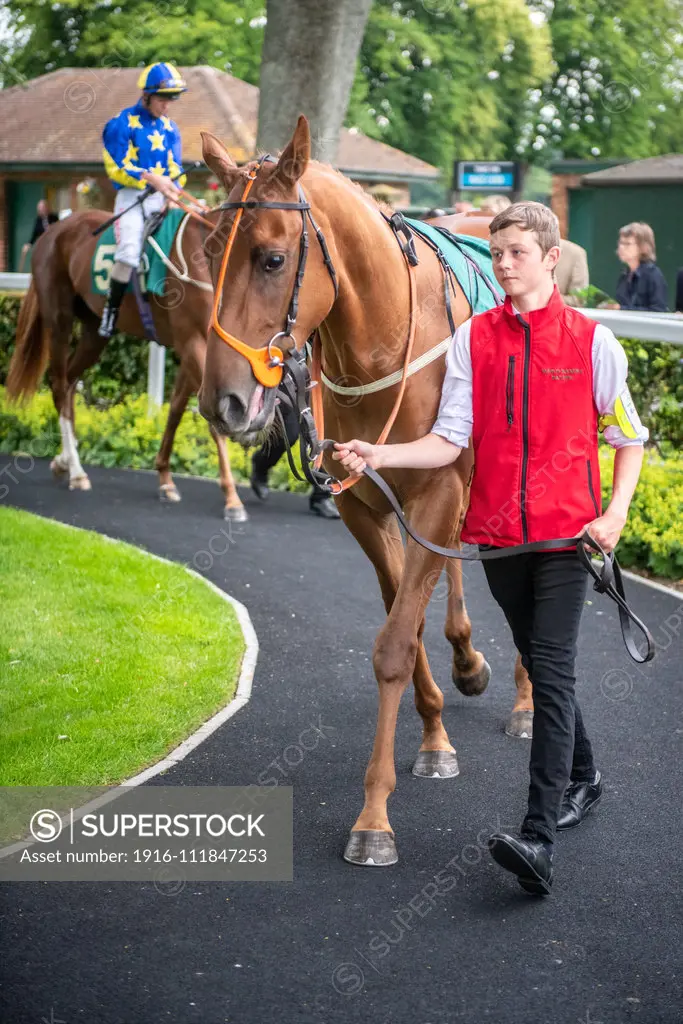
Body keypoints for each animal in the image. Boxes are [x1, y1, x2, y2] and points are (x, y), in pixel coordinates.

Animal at [6, 205, 246, 520]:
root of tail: (54, 230)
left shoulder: (197, 349)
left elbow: (177, 407)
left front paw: (165, 479)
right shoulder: (193, 342)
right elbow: (212, 418)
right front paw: (232, 498)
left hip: (95, 330)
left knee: (70, 382)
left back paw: (65, 461)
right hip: (59, 319)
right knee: (58, 383)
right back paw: (77, 471)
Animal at [196, 119, 532, 868]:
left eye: (270, 259)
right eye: (206, 250)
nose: (221, 401)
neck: (383, 344)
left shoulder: (437, 491)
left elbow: (393, 643)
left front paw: (375, 816)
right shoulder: (361, 503)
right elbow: (402, 619)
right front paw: (434, 732)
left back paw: (527, 700)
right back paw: (468, 658)